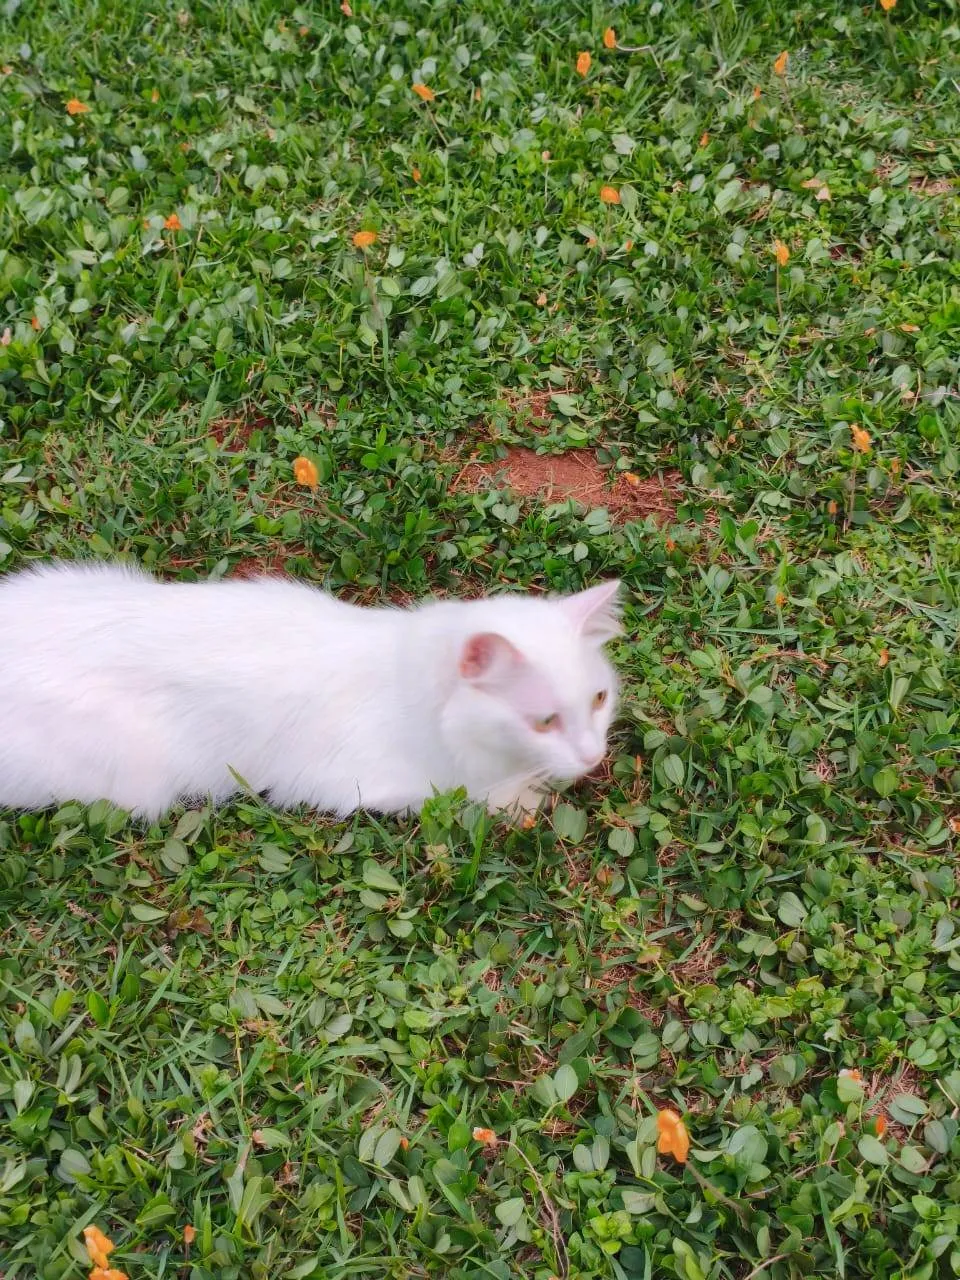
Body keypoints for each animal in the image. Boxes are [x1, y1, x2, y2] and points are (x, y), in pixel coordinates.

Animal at [0, 561, 621, 821]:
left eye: (598, 700)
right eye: (544, 721)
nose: (594, 756)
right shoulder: (368, 786)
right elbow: (473, 794)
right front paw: (525, 799)